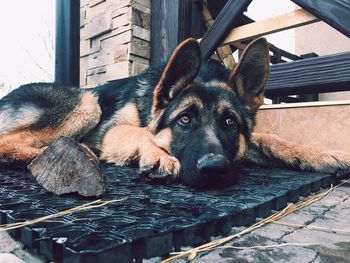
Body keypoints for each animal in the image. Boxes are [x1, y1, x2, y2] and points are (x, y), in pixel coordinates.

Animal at [0, 38, 350, 188]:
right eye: (184, 119)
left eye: (229, 121)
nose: (214, 169)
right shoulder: (112, 130)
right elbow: (143, 132)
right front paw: (157, 154)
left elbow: (270, 138)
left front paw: (324, 154)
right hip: (88, 104)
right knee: (7, 143)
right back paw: (65, 153)